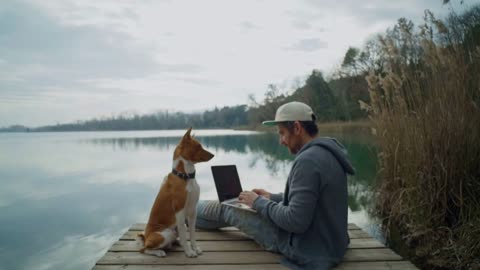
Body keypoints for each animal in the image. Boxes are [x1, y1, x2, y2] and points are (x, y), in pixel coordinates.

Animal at [138, 128, 215, 258]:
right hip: (166, 233)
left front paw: (195, 248)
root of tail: (146, 237)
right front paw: (189, 252)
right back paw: (159, 252)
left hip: (173, 231)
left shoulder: (193, 211)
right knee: (144, 249)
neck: (185, 176)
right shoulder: (180, 211)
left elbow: (192, 234)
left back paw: (176, 243)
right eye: (198, 146)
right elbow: (185, 234)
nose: (213, 155)